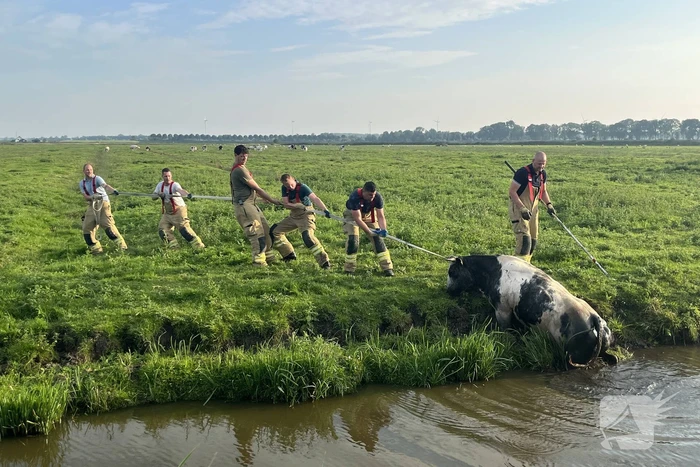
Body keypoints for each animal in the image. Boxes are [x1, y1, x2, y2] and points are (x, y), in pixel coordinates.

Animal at [446, 255, 617, 367]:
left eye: (452, 272)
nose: (447, 291)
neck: (493, 273)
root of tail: (594, 318)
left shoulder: (502, 308)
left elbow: (505, 328)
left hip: (573, 355)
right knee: (612, 358)